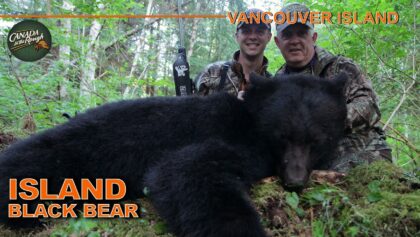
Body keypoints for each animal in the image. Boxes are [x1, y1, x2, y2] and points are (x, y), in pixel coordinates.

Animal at [0, 73, 348, 236]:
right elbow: (184, 170)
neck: (249, 122)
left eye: (317, 140)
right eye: (282, 137)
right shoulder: (228, 139)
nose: (294, 180)